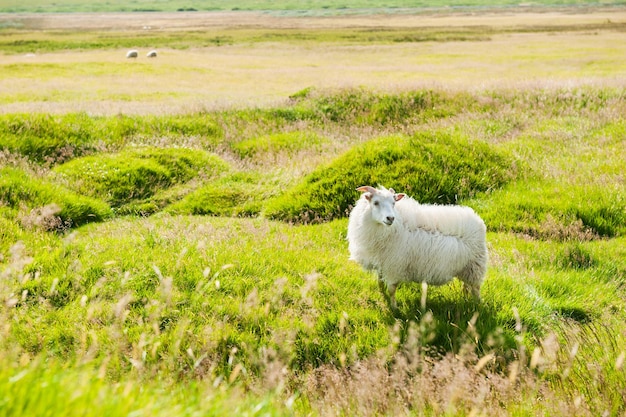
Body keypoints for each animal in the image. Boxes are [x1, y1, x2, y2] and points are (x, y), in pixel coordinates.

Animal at [346, 185, 488, 308]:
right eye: (375, 202)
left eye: (393, 203)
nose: (390, 218)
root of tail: (478, 220)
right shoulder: (382, 263)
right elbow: (380, 283)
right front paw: (383, 297)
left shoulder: (394, 266)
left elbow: (391, 289)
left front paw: (394, 308)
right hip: (465, 267)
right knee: (466, 285)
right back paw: (466, 299)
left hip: (475, 266)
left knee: (475, 288)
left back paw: (477, 305)